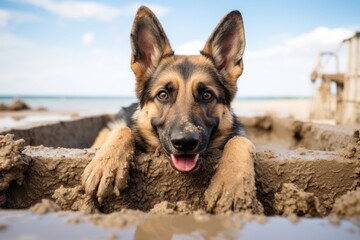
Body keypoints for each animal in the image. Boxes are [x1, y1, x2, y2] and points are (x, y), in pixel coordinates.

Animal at [83, 5, 260, 212]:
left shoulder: (241, 137)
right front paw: (105, 165)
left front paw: (230, 183)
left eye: (207, 95)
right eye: (163, 95)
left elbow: (240, 140)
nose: (185, 142)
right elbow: (123, 129)